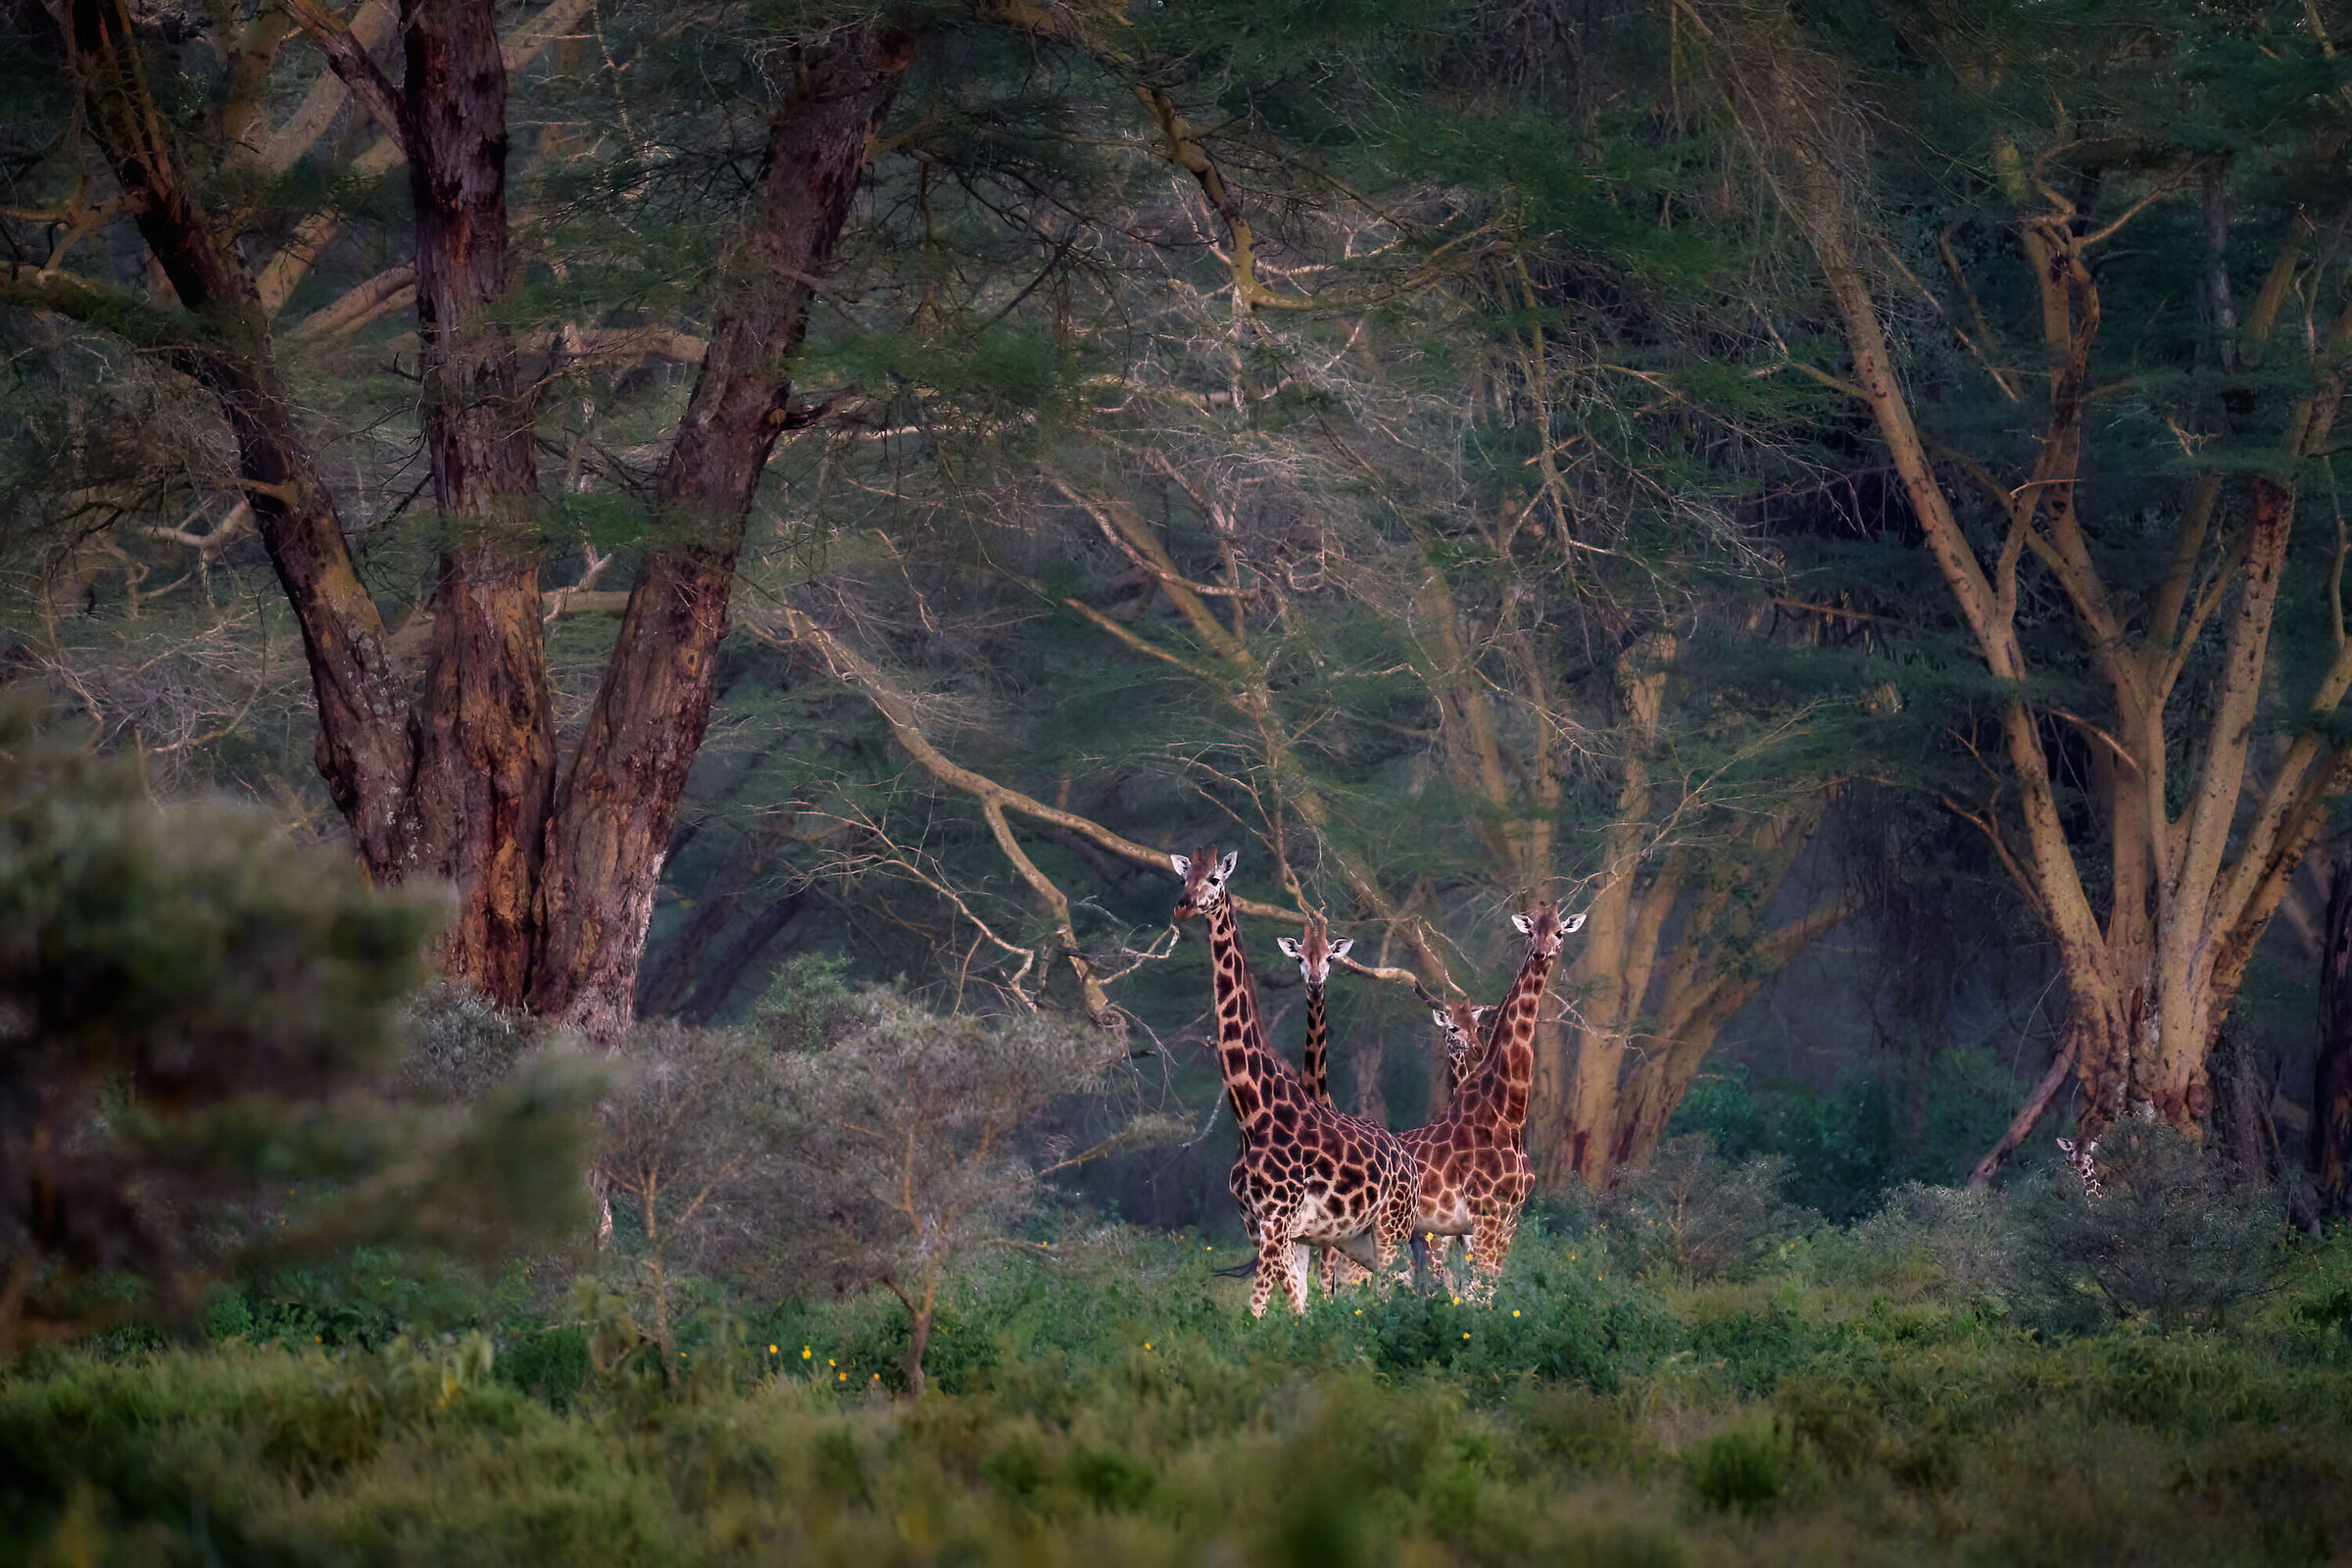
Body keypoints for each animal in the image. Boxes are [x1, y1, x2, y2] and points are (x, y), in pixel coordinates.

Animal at [1173, 849, 1417, 1315]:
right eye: (1183, 877)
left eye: (1214, 879)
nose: (1183, 905)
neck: (1251, 1111)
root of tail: (1410, 1163)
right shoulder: (1263, 1226)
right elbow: (1296, 1304)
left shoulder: (1278, 1220)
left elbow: (1258, 1308)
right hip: (1359, 1237)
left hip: (1392, 1226)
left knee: (1405, 1285)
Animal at [1399, 903, 1583, 1303]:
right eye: (1531, 931)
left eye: (1560, 931)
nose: (1541, 953)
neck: (1508, 1113)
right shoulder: (1484, 1215)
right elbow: (1476, 1294)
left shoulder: (1508, 1220)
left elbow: (1484, 1292)